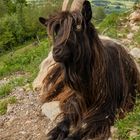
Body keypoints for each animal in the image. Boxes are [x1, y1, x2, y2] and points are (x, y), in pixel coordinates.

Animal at [38, 1, 140, 140]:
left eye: (78, 26)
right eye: (57, 30)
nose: (56, 52)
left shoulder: (108, 111)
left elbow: (85, 127)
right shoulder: (76, 100)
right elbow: (66, 118)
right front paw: (55, 132)